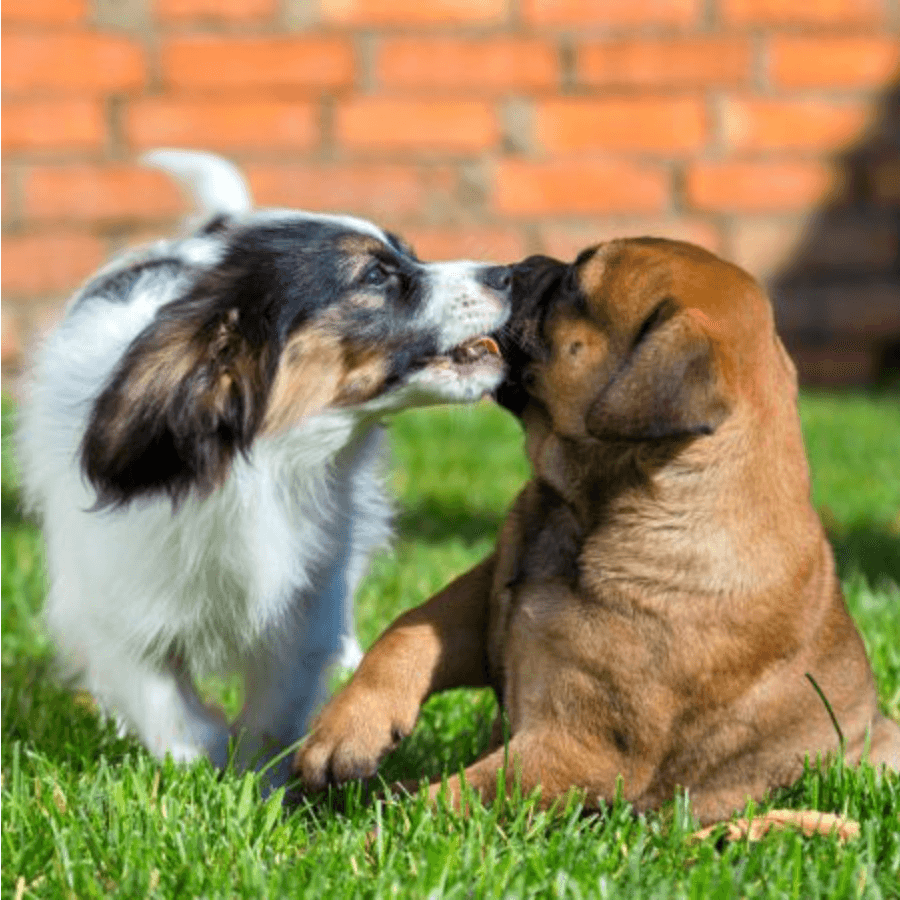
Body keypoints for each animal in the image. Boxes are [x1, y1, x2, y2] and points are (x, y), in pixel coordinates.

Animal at [17, 151, 510, 784]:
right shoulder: (113, 600)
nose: (509, 275)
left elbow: (279, 701)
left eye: (408, 254)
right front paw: (201, 759)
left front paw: (260, 777)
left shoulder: (304, 600)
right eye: (375, 277)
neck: (266, 462)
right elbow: (159, 693)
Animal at [298, 239, 900, 824]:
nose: (514, 268)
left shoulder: (580, 748)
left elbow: (455, 797)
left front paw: (366, 829)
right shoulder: (483, 599)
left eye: (573, 285)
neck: (582, 509)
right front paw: (345, 730)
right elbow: (409, 629)